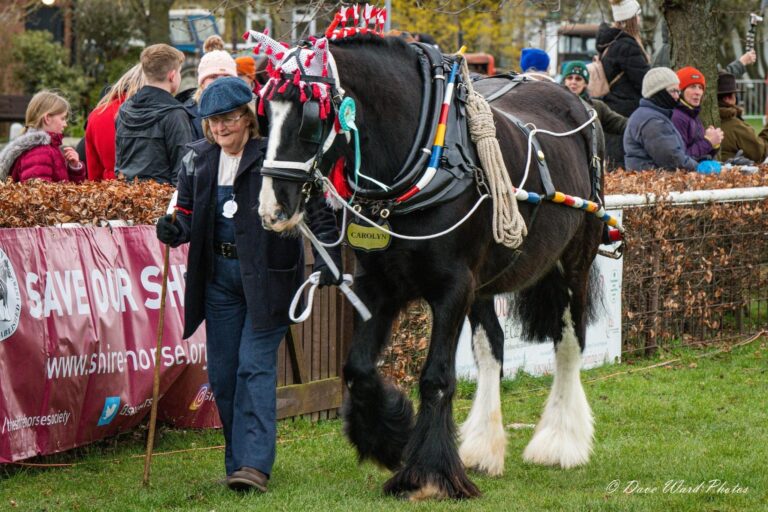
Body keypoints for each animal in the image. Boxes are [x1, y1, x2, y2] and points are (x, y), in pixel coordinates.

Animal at [251, 32, 604, 500]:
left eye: (310, 119)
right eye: (264, 115)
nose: (272, 210)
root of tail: (572, 98)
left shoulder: (452, 289)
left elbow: (436, 378)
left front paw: (430, 474)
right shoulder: (378, 285)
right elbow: (357, 367)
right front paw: (390, 439)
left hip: (574, 261)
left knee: (569, 342)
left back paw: (561, 442)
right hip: (485, 283)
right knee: (492, 346)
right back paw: (482, 447)